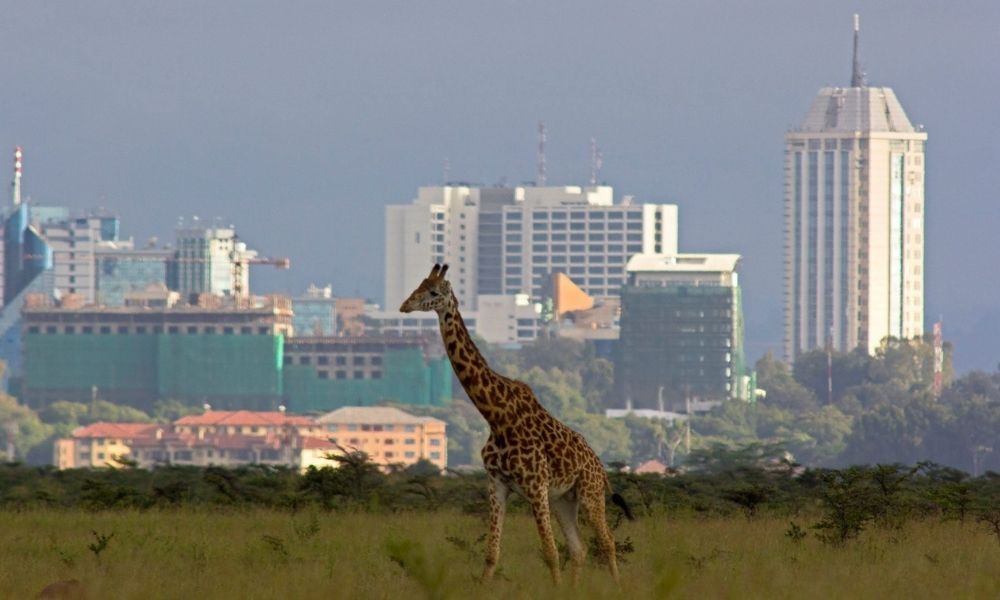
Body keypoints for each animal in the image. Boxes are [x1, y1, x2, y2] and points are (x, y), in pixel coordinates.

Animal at [398, 264, 632, 584]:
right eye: (418, 286)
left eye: (433, 291)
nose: (404, 306)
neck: (497, 417)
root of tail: (600, 466)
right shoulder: (496, 484)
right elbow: (492, 553)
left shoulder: (536, 487)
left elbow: (550, 552)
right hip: (564, 499)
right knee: (579, 549)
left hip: (590, 493)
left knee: (606, 543)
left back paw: (617, 586)